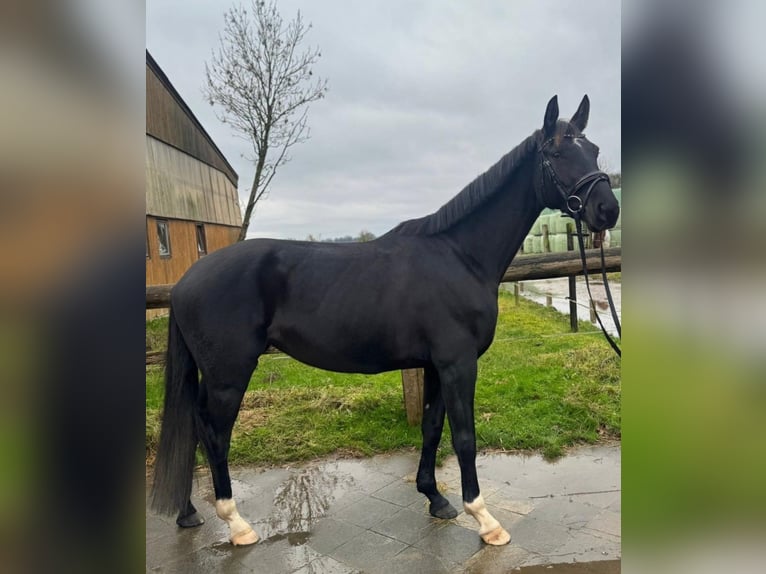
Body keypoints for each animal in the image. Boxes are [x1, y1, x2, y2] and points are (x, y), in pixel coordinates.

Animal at [153, 97, 620, 548]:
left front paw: (435, 498)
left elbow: (432, 427)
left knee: (194, 427)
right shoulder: (458, 364)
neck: (459, 257)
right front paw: (485, 521)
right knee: (214, 433)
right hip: (229, 375)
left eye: (595, 149)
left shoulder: (434, 365)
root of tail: (185, 281)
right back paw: (236, 525)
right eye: (557, 152)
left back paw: (189, 512)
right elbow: (464, 438)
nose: (607, 210)